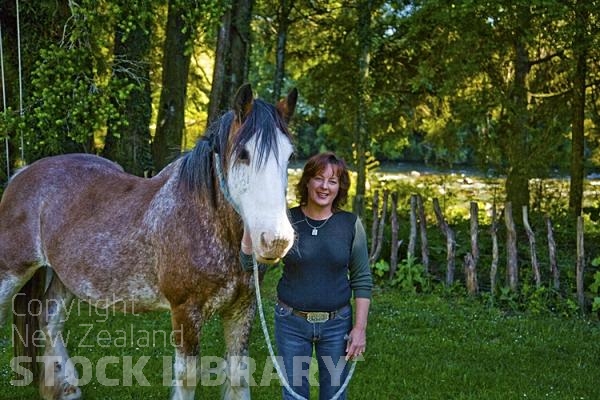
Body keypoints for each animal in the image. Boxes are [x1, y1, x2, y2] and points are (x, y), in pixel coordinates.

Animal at [0, 83, 298, 398]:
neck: (204, 220)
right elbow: (188, 378)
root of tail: (21, 173)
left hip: (64, 277)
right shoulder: (185, 313)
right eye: (243, 154)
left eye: (290, 156)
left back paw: (66, 388)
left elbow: (238, 376)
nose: (275, 239)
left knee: (49, 318)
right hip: (11, 273)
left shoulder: (242, 308)